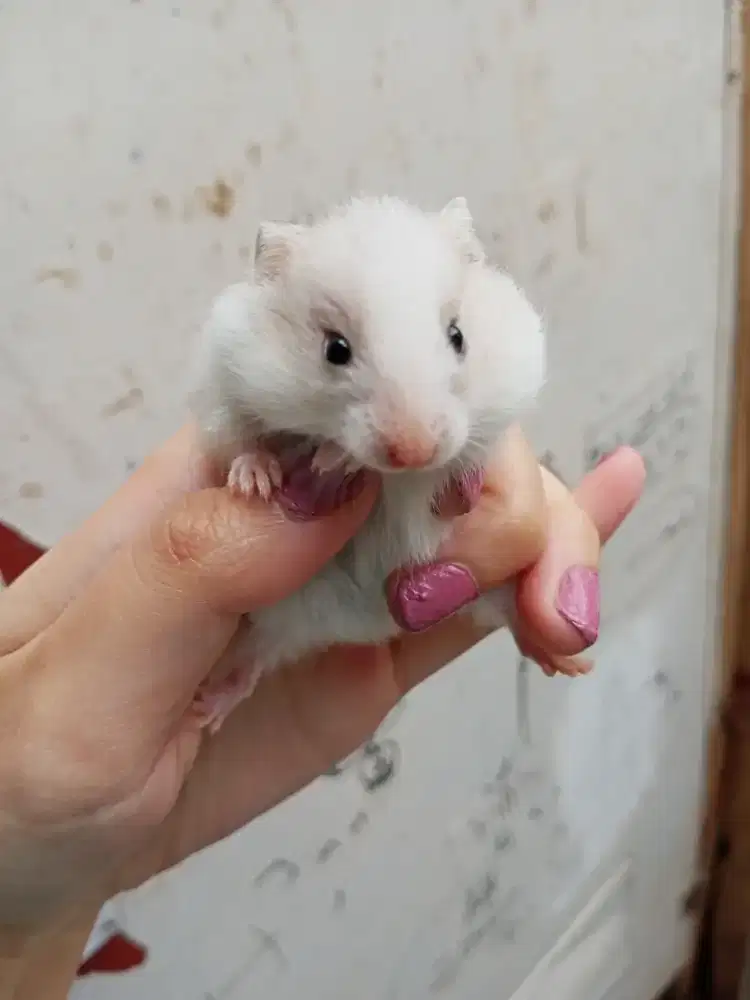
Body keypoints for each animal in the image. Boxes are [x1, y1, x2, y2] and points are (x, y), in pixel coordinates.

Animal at [189, 195, 546, 731]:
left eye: (458, 336)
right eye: (334, 349)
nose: (415, 450)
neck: (392, 478)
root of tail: (364, 628)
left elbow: (469, 471)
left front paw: (459, 486)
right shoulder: (223, 388)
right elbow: (240, 443)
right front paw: (262, 482)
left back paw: (561, 651)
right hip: (283, 609)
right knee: (256, 659)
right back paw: (204, 708)